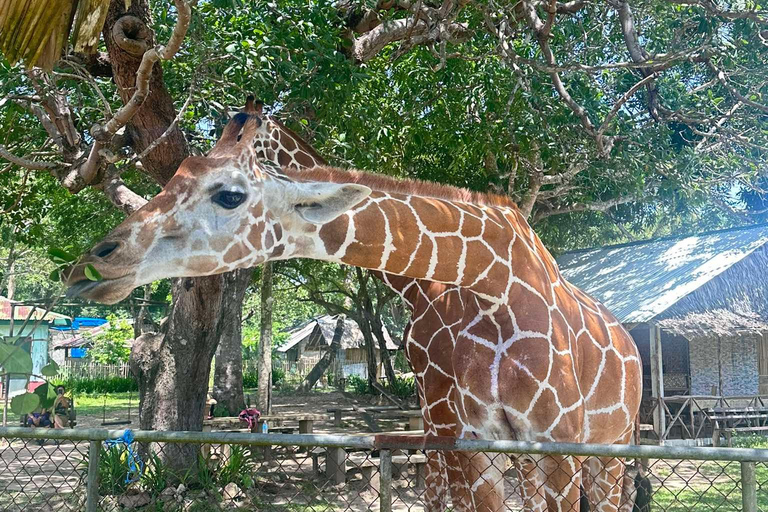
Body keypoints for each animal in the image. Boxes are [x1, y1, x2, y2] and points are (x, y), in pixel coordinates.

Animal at [63, 109, 644, 512]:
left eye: (229, 195)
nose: (92, 265)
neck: (489, 284)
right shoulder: (470, 438)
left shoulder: (557, 444)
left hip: (612, 445)